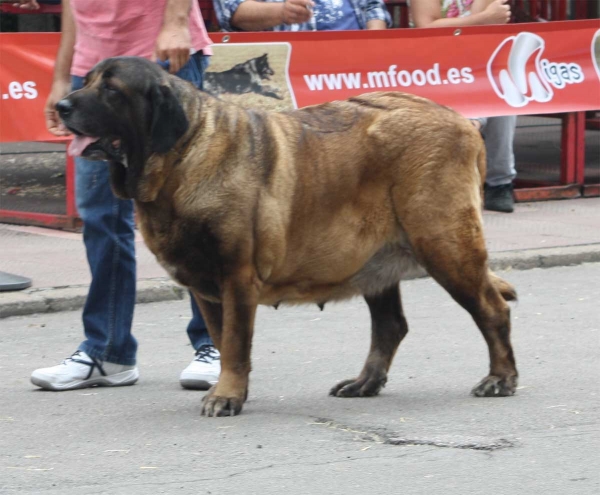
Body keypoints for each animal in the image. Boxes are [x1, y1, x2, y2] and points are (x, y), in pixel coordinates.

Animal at [58, 56, 516, 416]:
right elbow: (224, 341)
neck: (181, 158)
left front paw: (226, 396)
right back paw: (364, 383)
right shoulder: (207, 289)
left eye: (111, 89)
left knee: (491, 310)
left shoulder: (237, 276)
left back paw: (500, 378)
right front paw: (230, 389)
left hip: (446, 245)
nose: (61, 105)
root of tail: (462, 120)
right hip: (374, 261)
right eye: (88, 80)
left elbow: (235, 342)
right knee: (390, 326)